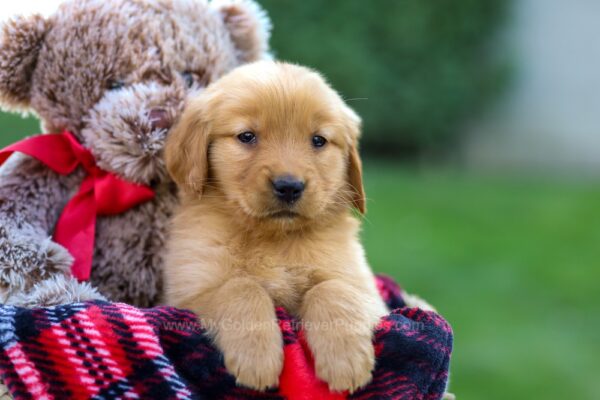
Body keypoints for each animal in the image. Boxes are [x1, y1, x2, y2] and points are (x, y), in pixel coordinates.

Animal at [164, 61, 386, 392]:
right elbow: (241, 286)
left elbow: (333, 287)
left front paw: (345, 360)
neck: (275, 239)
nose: (289, 186)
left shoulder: (369, 292)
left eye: (318, 140)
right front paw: (256, 358)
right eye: (246, 136)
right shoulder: (188, 293)